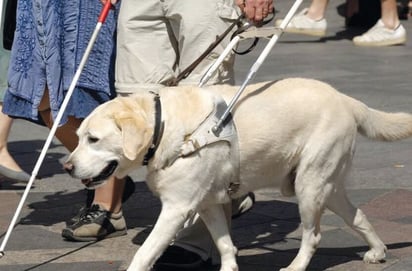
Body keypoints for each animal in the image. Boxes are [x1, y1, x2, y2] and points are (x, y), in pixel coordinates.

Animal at [63, 77, 412, 270]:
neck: (167, 127)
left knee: (313, 235)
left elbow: (144, 253)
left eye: (93, 139)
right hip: (327, 185)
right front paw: (229, 267)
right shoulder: (207, 204)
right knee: (358, 215)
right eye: (78, 137)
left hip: (310, 185)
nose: (67, 166)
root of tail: (345, 98)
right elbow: (225, 244)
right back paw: (377, 251)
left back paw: (296, 266)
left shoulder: (177, 208)